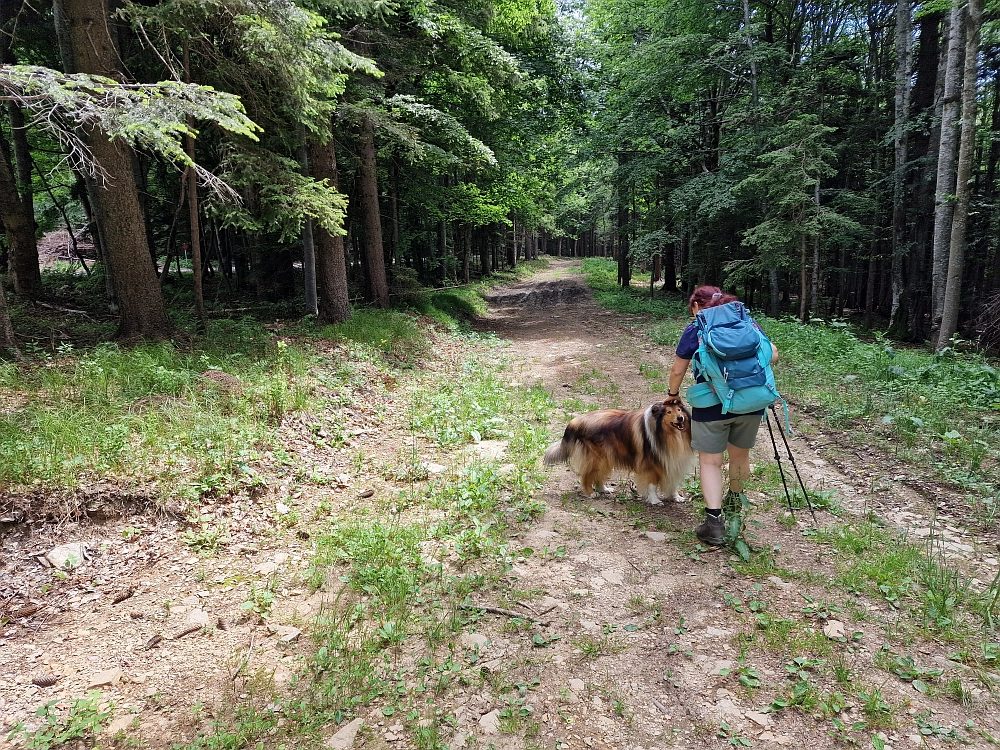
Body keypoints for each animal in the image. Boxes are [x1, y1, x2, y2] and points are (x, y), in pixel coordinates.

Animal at [544, 400, 692, 506]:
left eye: (679, 410)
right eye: (668, 412)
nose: (680, 418)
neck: (670, 435)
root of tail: (576, 421)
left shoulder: (673, 462)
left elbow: (673, 482)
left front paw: (676, 497)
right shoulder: (651, 465)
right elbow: (652, 484)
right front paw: (655, 500)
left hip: (606, 457)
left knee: (598, 476)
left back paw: (604, 489)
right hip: (596, 458)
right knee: (586, 476)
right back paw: (591, 493)